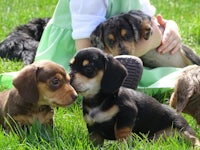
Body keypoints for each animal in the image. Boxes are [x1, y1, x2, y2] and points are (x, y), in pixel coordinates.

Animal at [69, 47, 200, 147]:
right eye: (71, 66)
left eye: (88, 68)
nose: (69, 77)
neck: (98, 101)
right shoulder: (92, 127)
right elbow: (95, 140)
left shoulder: (127, 113)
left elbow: (121, 132)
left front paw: (122, 146)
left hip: (182, 130)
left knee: (194, 139)